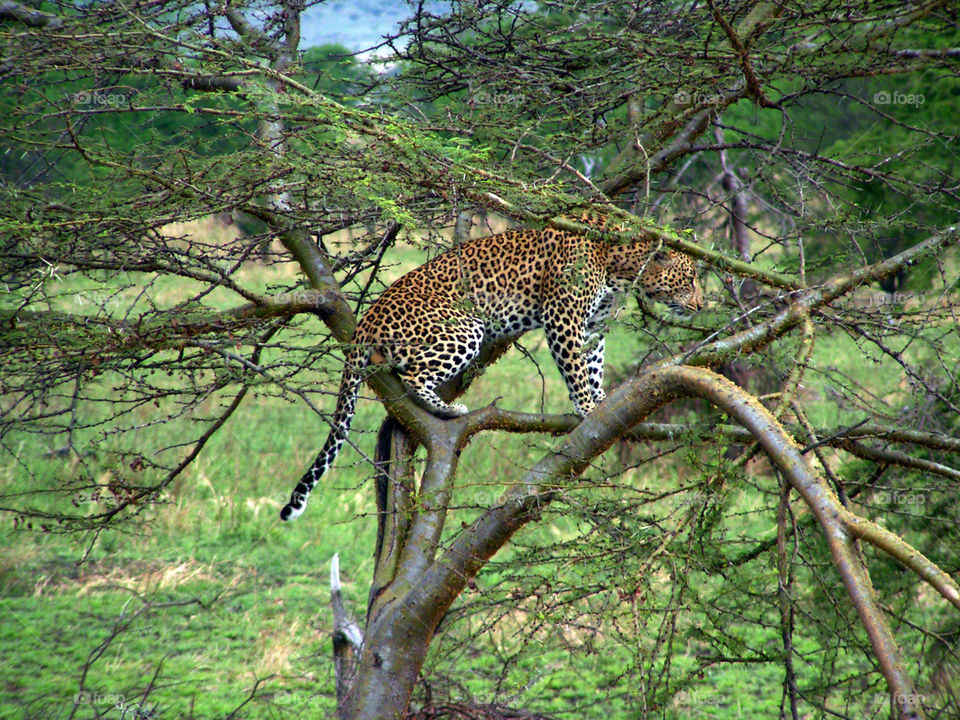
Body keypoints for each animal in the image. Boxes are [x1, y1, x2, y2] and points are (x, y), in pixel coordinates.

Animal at [282, 217, 700, 520]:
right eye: (691, 277)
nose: (700, 305)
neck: (620, 269)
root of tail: (367, 320)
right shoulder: (563, 317)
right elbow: (576, 369)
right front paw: (588, 408)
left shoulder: (593, 325)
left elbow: (593, 364)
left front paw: (601, 400)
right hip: (465, 327)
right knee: (414, 375)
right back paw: (449, 408)